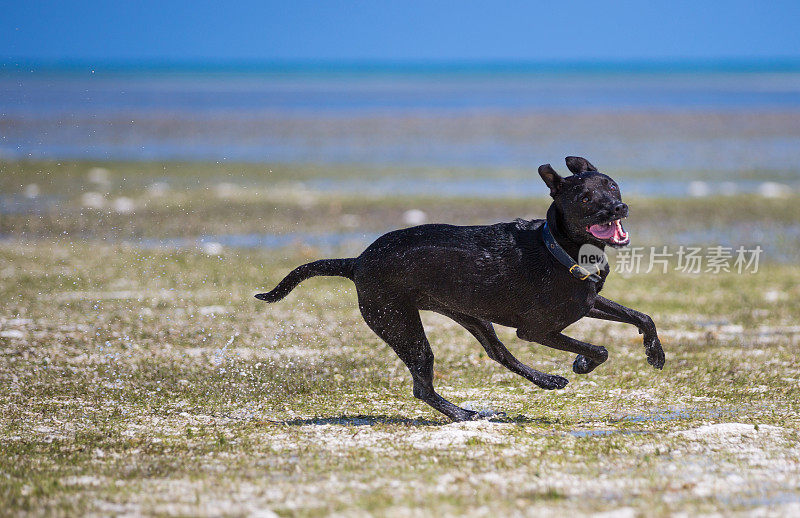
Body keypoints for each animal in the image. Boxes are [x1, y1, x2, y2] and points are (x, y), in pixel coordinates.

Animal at [256, 157, 664, 422]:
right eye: (585, 198)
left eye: (611, 185)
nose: (618, 207)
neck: (559, 246)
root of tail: (356, 262)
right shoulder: (537, 329)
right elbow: (600, 349)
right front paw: (582, 362)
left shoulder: (587, 301)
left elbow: (642, 316)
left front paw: (655, 354)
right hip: (399, 323)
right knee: (423, 386)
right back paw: (463, 413)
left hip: (471, 316)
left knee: (499, 354)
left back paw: (544, 381)